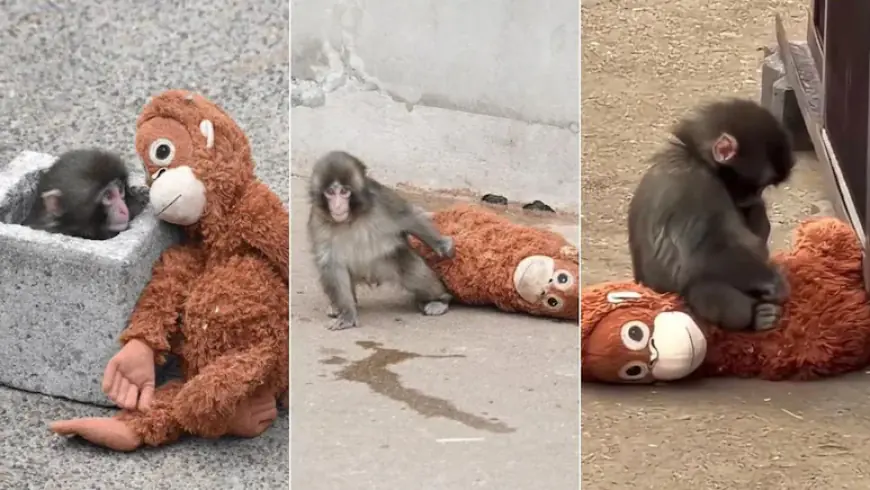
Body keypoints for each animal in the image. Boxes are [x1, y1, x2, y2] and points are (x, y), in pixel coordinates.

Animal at [307, 150, 456, 331]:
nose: (337, 206)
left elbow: (408, 218)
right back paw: (340, 306)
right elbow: (331, 263)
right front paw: (347, 314)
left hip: (384, 263)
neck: (350, 218)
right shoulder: (318, 220)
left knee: (411, 269)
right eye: (330, 192)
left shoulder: (381, 201)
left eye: (343, 191)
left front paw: (441, 245)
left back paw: (439, 299)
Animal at [627, 98, 795, 332]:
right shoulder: (696, 187)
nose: (755, 197)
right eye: (760, 185)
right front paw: (773, 281)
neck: (696, 157)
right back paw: (755, 317)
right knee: (702, 283)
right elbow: (706, 255)